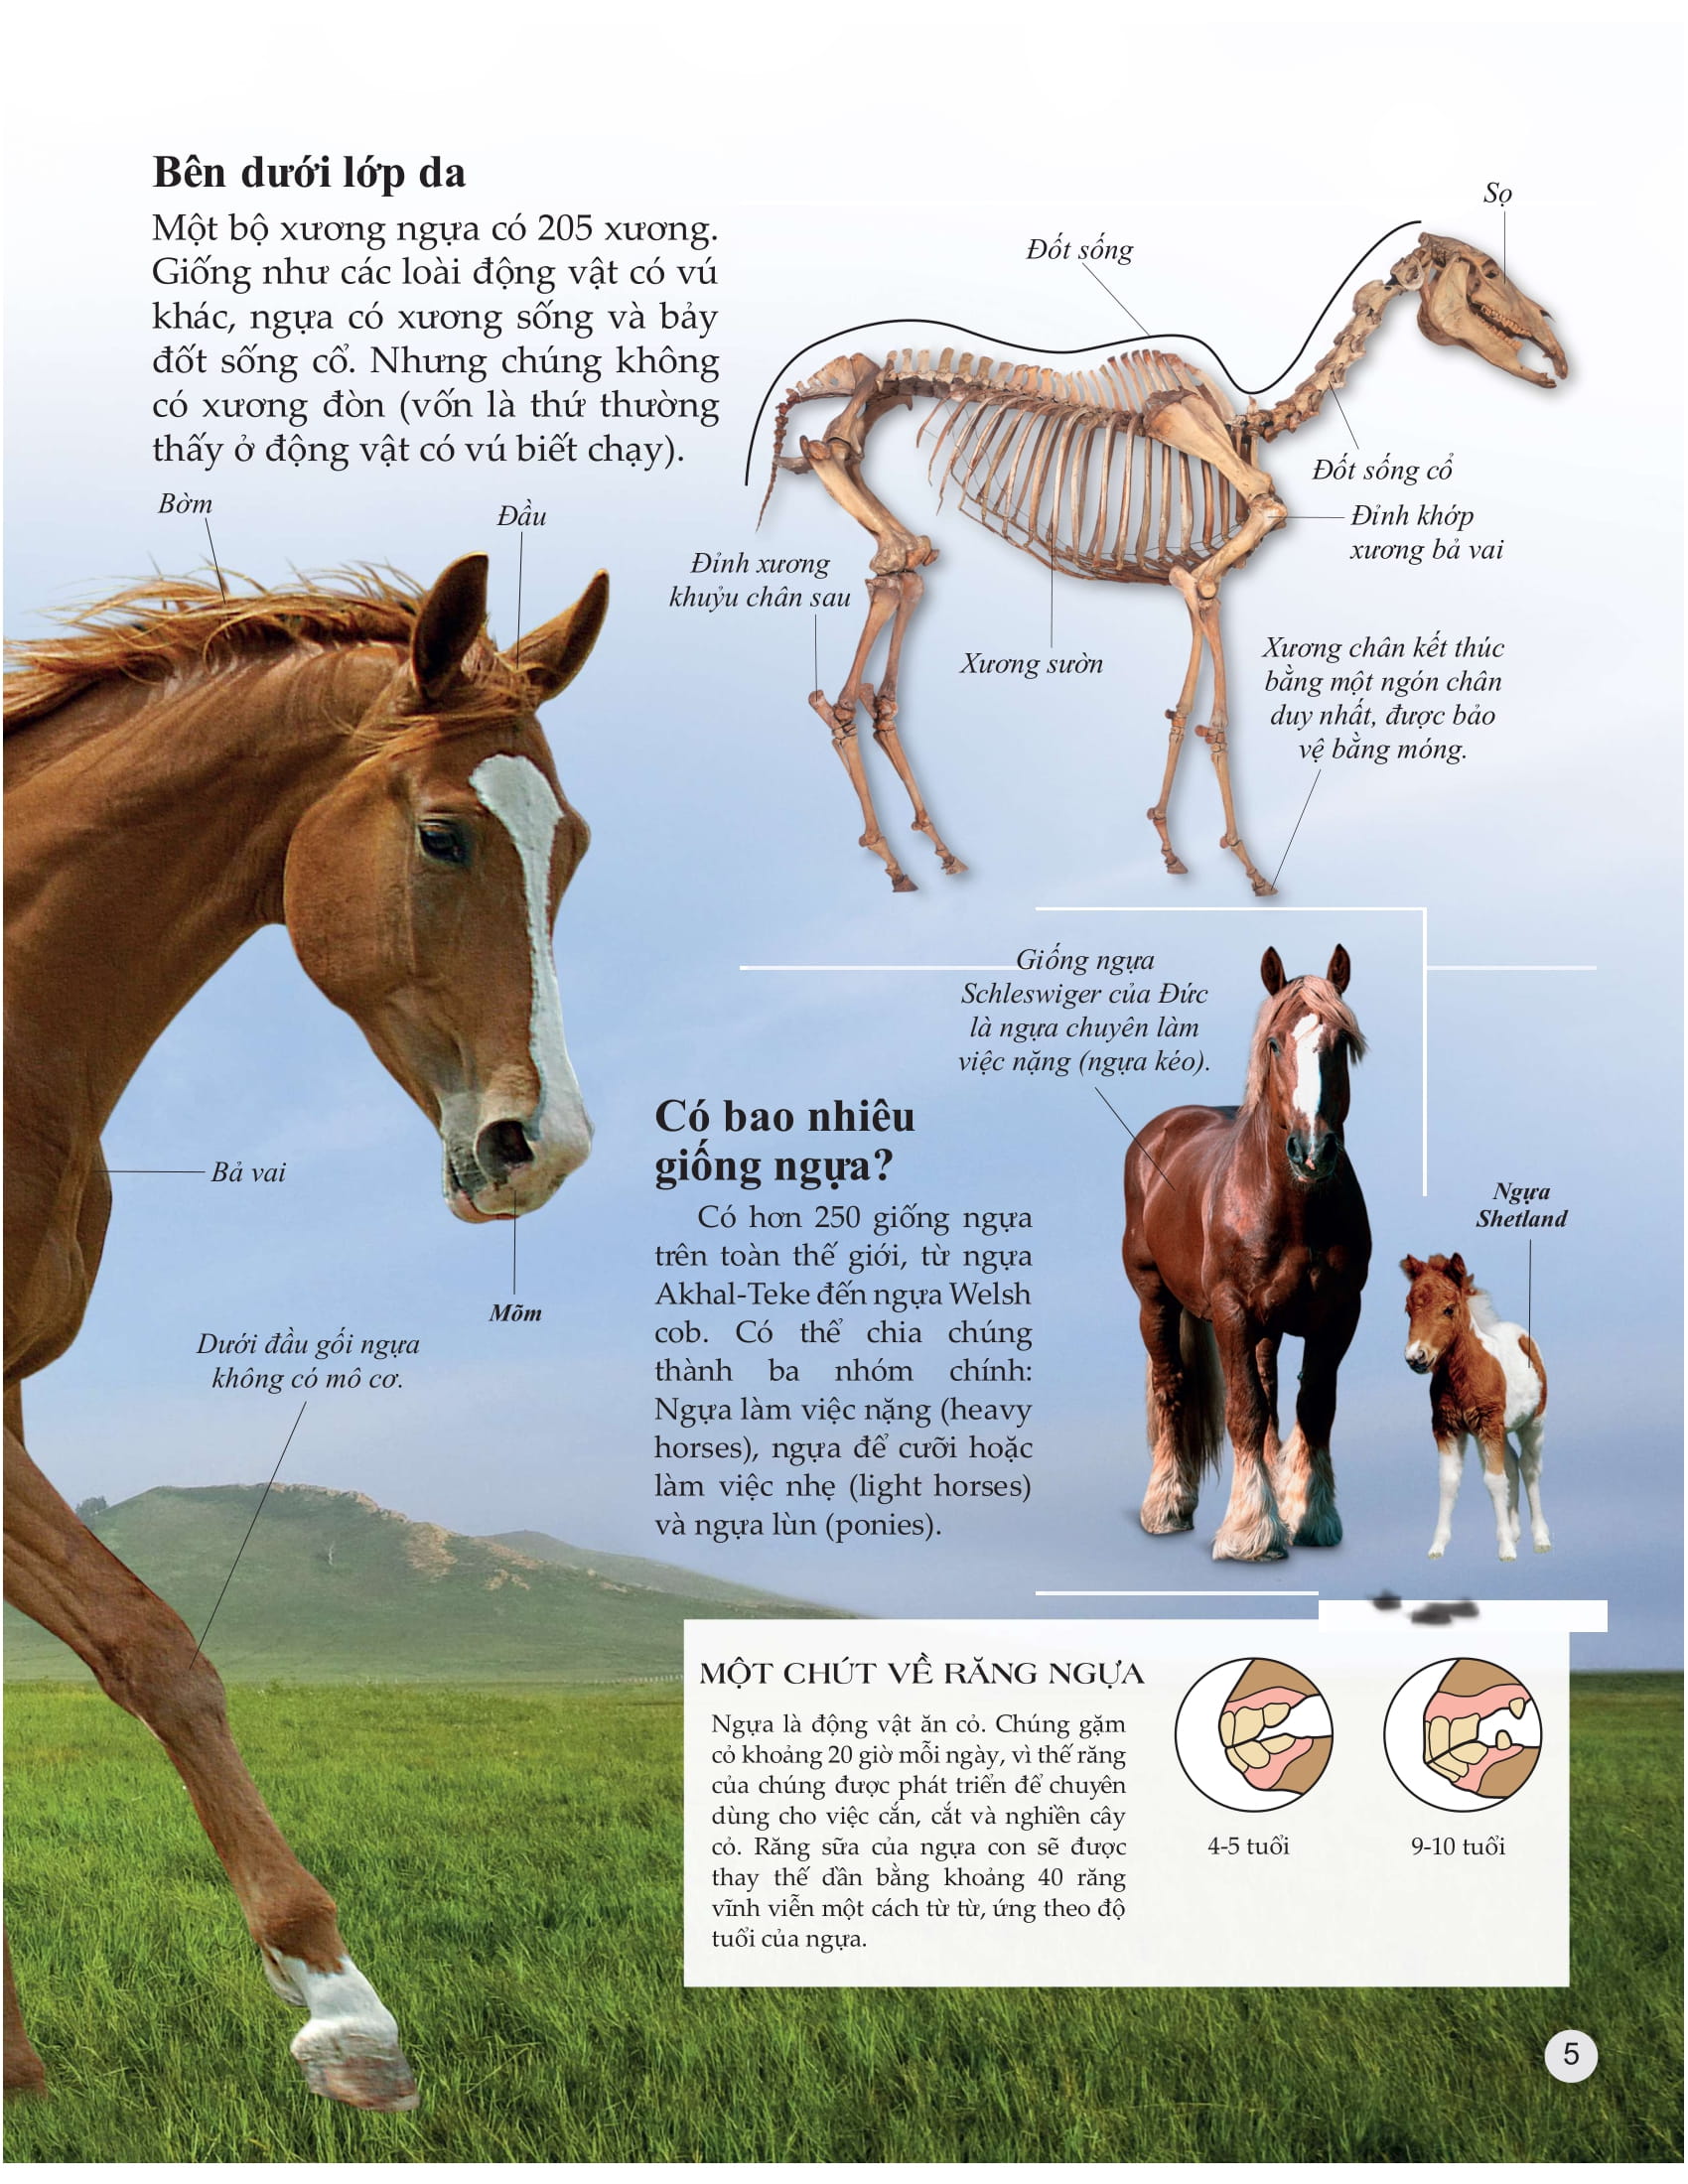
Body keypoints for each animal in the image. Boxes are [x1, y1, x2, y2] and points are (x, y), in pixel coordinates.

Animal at [4, 552, 607, 2110]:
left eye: (568, 847)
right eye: (446, 836)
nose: (542, 1148)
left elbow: (149, 1653)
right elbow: (155, 1647)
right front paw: (343, 2006)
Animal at [1122, 946, 1370, 1561]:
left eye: (1340, 1044)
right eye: (1275, 1043)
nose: (1313, 1150)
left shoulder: (1340, 1315)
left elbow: (1314, 1408)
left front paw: (1311, 1516)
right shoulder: (1232, 1313)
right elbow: (1244, 1412)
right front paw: (1251, 1530)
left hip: (1269, 1326)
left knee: (1274, 1395)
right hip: (1154, 1299)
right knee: (1171, 1387)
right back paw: (1167, 1503)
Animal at [1400, 1254, 1550, 1562]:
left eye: (1448, 1309)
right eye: (1408, 1310)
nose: (1416, 1357)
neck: (1463, 1374)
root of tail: (1518, 1332)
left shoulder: (1488, 1424)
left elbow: (1493, 1480)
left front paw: (1506, 1550)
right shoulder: (1447, 1428)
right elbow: (1448, 1481)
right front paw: (1437, 1547)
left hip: (1533, 1423)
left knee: (1529, 1467)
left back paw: (1541, 1539)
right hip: (1499, 1429)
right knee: (1512, 1464)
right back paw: (1516, 1531)